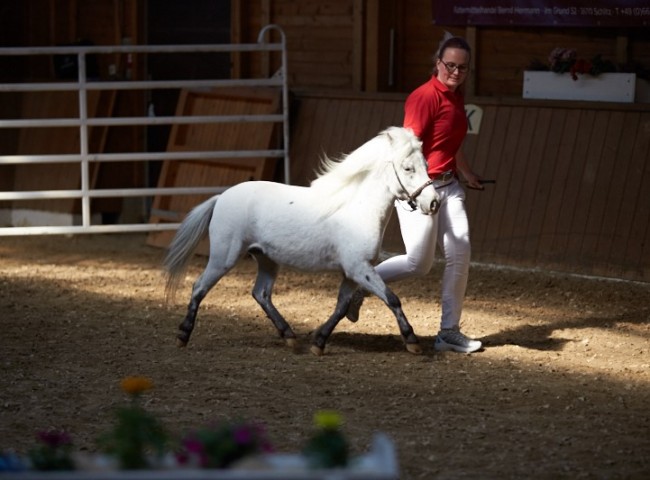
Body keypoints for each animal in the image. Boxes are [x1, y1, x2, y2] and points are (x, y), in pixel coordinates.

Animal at [163, 126, 440, 355]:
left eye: (426, 163)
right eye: (408, 168)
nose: (433, 202)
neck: (357, 208)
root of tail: (221, 197)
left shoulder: (352, 273)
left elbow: (342, 307)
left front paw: (319, 342)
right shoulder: (359, 269)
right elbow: (392, 298)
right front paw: (412, 341)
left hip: (267, 259)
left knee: (261, 294)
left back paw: (290, 337)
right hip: (224, 256)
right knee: (199, 287)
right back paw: (182, 335)